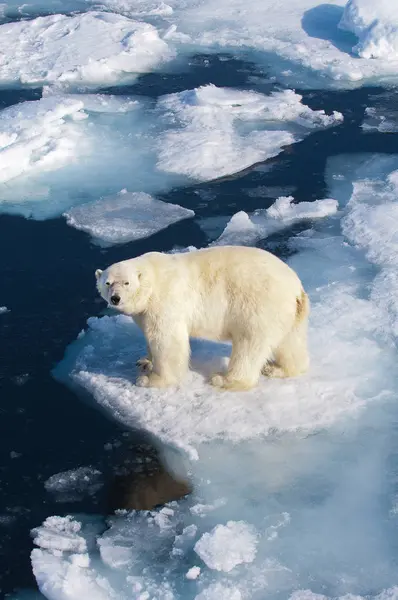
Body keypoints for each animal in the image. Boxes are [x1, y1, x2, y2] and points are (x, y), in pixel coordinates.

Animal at [95, 246, 310, 392]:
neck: (152, 279)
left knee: (249, 345)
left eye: (126, 282)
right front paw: (144, 361)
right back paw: (279, 369)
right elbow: (149, 335)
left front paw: (151, 379)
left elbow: (167, 341)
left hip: (258, 305)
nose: (115, 298)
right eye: (107, 283)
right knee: (290, 342)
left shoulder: (166, 299)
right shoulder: (144, 312)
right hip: (289, 312)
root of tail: (296, 288)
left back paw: (225, 379)